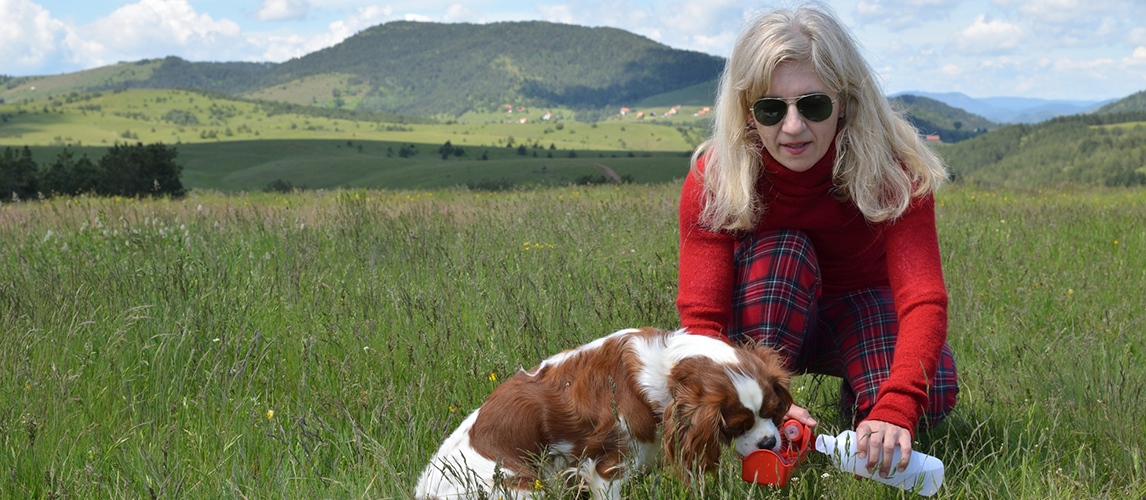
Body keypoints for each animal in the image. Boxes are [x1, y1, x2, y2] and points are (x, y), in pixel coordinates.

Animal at [414, 327, 797, 499]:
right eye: (738, 425)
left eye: (773, 411)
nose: (770, 442)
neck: (665, 372)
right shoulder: (607, 469)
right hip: (522, 487)